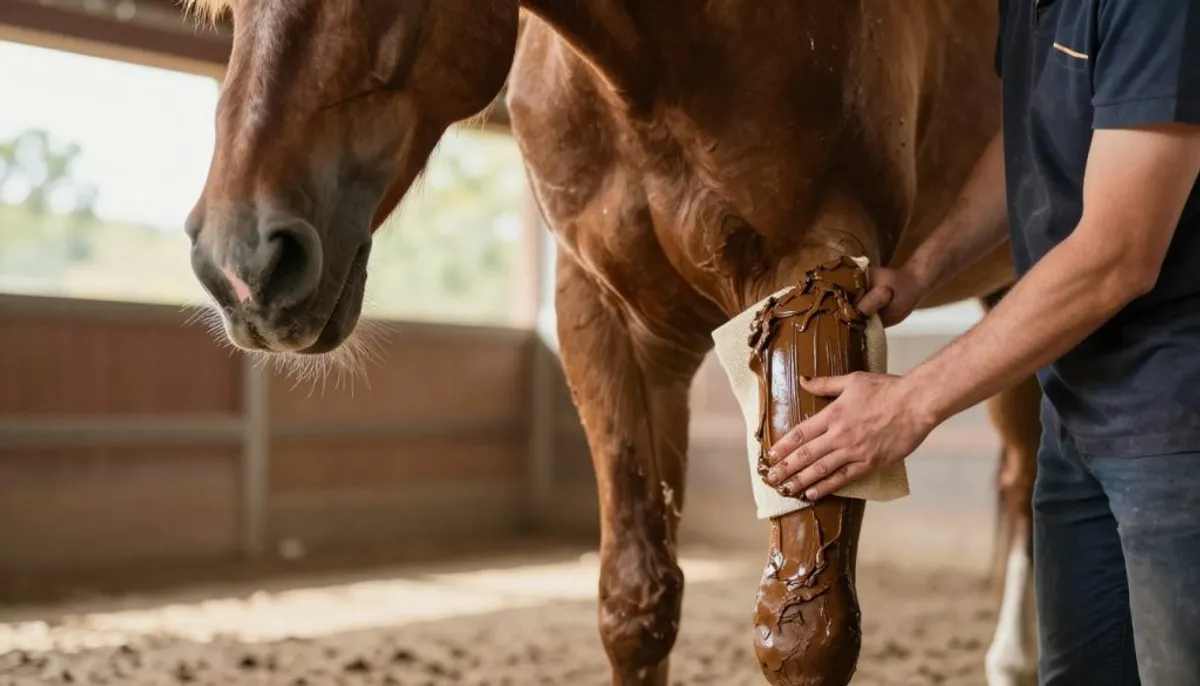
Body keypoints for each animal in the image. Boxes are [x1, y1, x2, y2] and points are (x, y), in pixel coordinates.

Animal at [181, 1, 1039, 684]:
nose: (241, 265)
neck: (653, 67)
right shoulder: (609, 318)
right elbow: (637, 607)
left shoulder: (812, 273)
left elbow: (809, 633)